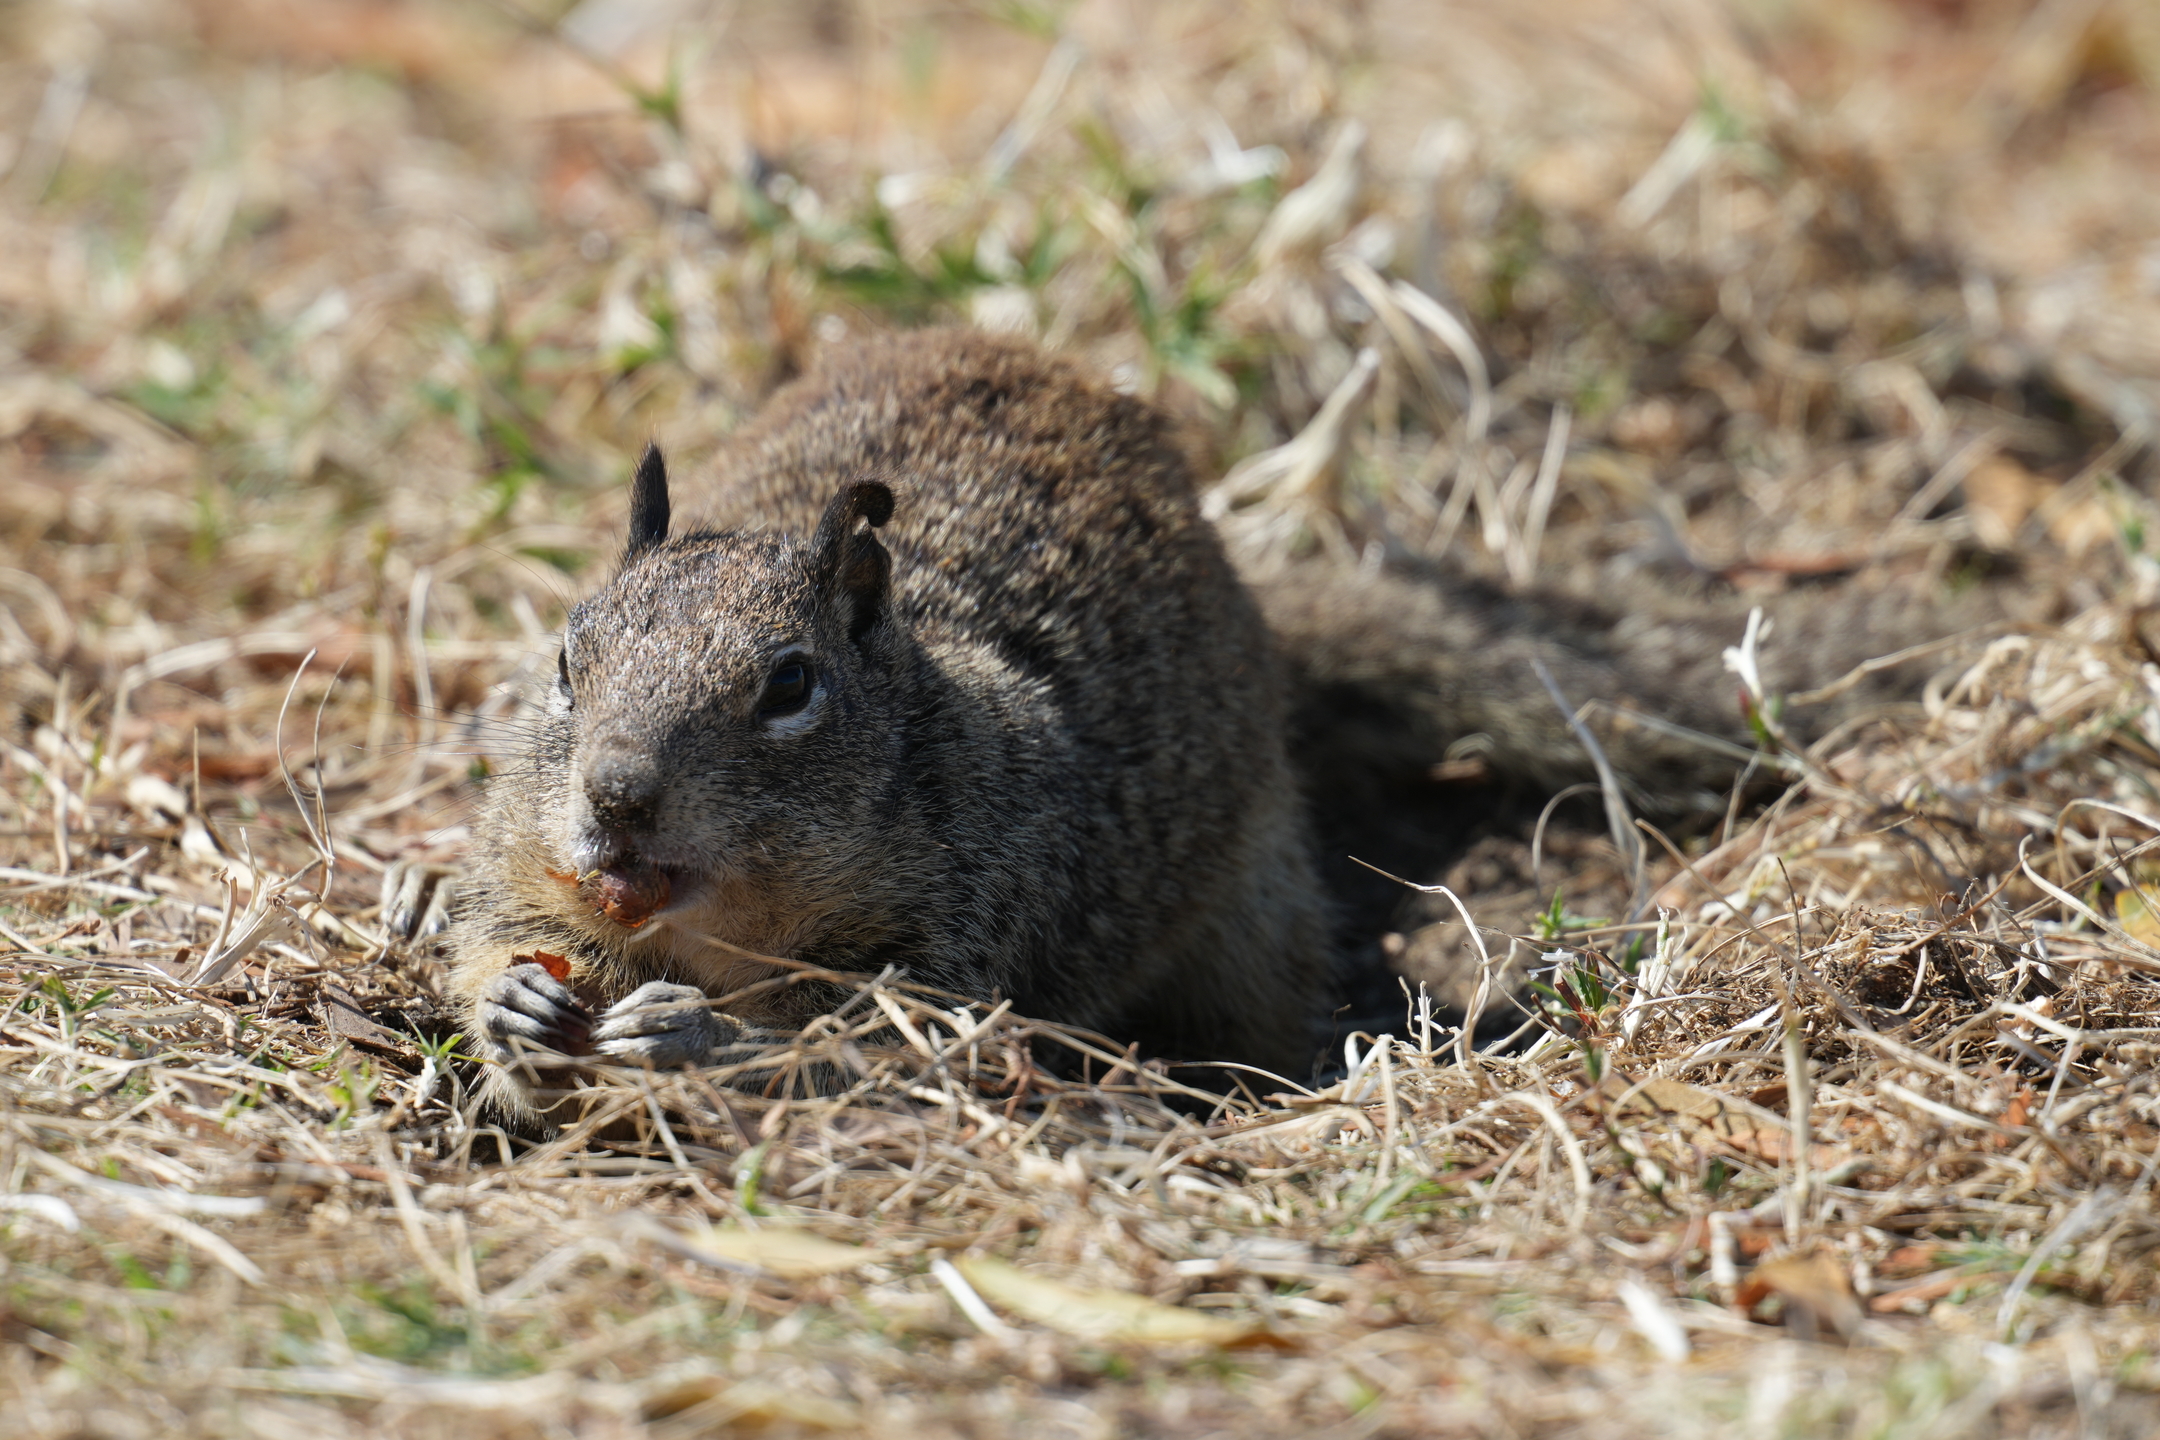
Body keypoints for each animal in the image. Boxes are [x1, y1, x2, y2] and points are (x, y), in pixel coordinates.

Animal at [406, 328, 2033, 1125]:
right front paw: (518, 1013)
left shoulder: (973, 925)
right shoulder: (523, 859)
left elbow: (882, 1039)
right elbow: (492, 930)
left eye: (790, 685)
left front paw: (690, 1038)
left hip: (1252, 912)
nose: (618, 798)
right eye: (567, 657)